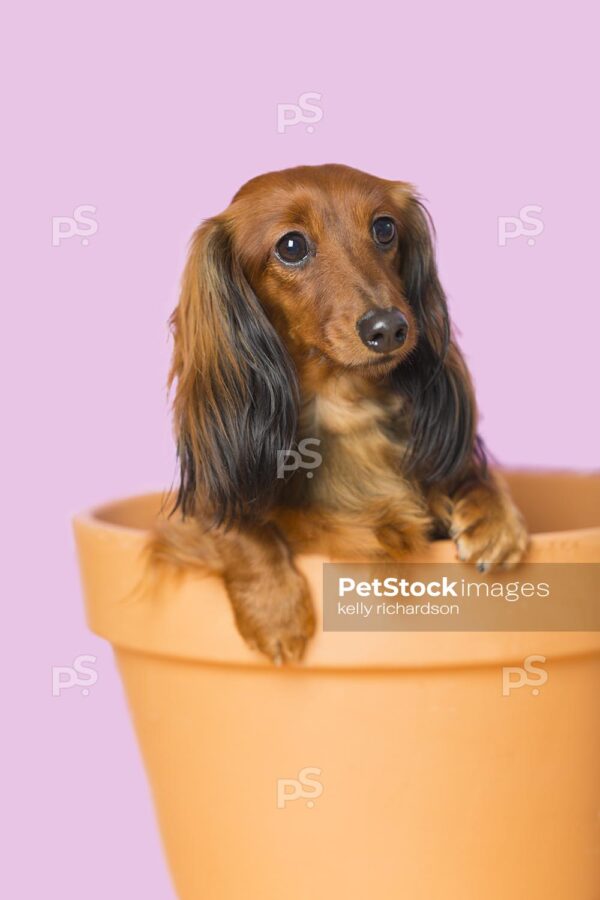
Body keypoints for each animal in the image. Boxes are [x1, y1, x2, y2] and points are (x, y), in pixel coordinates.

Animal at [156, 165, 528, 664]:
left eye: (384, 228)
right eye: (291, 246)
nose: (388, 327)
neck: (345, 407)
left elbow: (475, 473)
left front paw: (497, 521)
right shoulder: (200, 508)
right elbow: (238, 528)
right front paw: (276, 611)